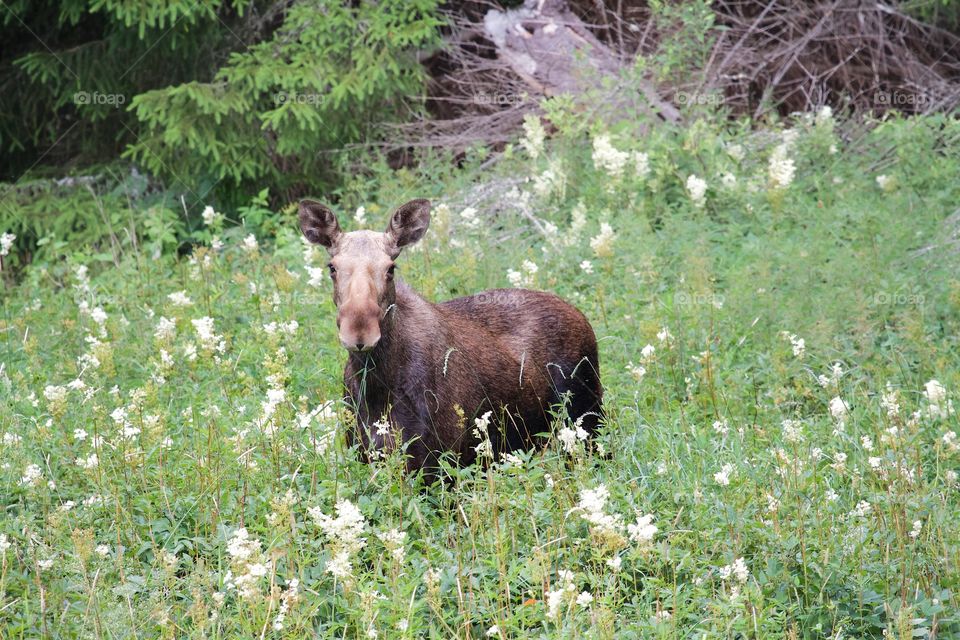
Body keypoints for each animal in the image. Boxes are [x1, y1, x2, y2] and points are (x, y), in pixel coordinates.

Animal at [300, 200, 600, 476]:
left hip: (588, 421)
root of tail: (580, 315)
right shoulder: (366, 454)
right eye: (332, 267)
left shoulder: (437, 463)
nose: (359, 333)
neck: (378, 383)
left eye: (390, 268)